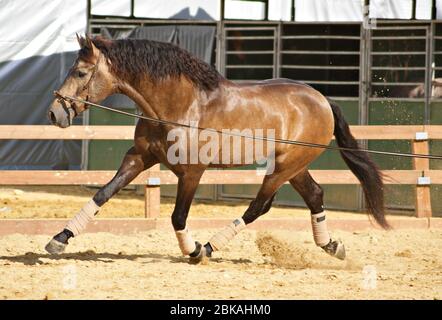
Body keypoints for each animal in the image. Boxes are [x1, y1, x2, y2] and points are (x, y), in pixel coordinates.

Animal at [45, 35, 388, 262]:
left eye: (80, 72)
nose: (54, 113)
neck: (179, 105)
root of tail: (320, 99)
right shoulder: (140, 157)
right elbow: (103, 193)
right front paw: (59, 239)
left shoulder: (192, 173)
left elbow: (178, 217)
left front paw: (194, 250)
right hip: (294, 167)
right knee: (314, 196)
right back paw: (332, 246)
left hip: (284, 168)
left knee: (259, 207)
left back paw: (210, 247)